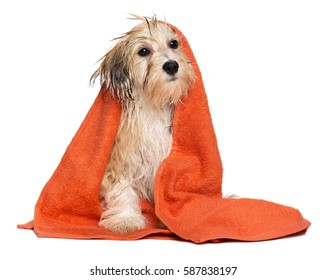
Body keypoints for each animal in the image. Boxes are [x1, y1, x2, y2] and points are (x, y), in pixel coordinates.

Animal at [90, 15, 195, 234]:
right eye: (143, 51)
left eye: (173, 44)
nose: (171, 65)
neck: (153, 107)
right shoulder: (120, 159)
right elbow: (122, 189)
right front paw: (125, 219)